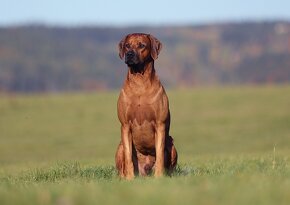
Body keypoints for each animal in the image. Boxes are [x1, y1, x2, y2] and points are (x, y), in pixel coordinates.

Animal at [114, 32, 178, 179]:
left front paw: (159, 177)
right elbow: (128, 156)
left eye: (142, 45)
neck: (140, 82)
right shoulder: (125, 125)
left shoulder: (160, 124)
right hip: (119, 146)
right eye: (127, 45)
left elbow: (160, 154)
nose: (129, 54)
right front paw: (130, 179)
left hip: (172, 144)